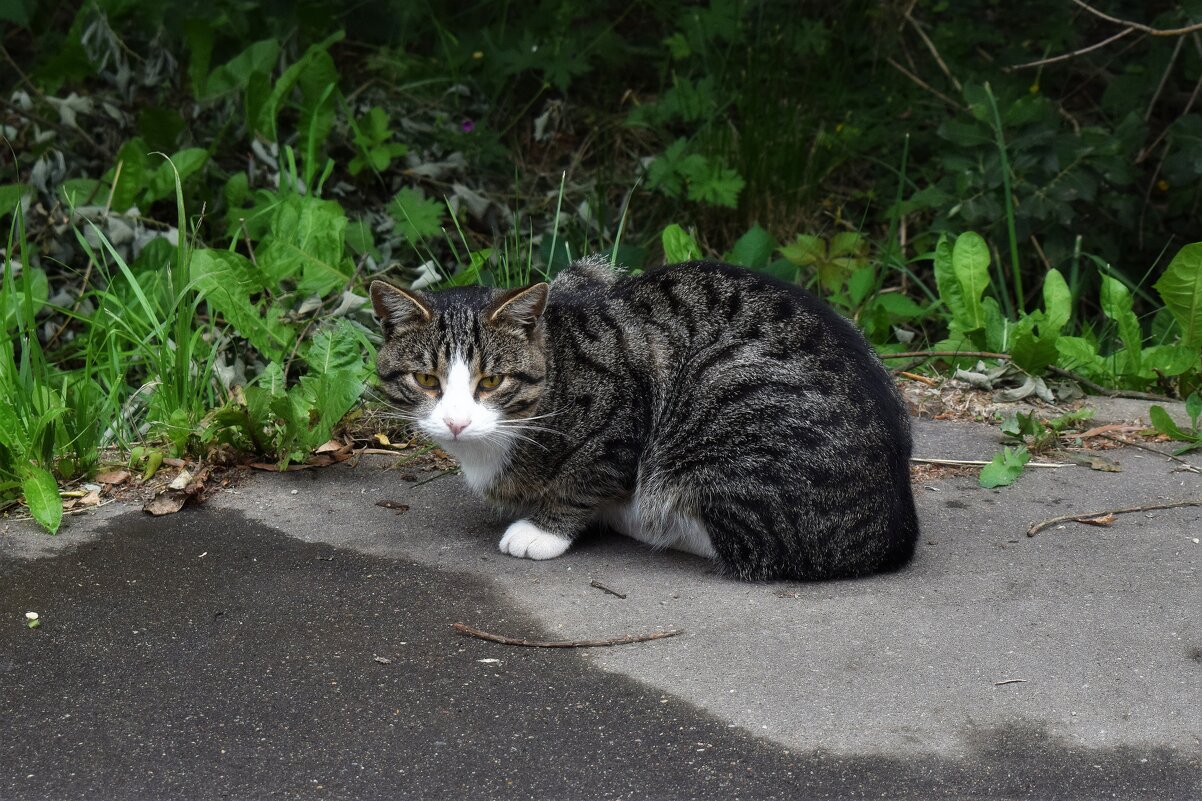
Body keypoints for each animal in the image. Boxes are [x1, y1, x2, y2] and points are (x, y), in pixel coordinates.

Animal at [372, 258, 918, 577]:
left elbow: (586, 476)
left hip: (724, 402)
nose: (456, 422)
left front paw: (545, 529)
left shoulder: (620, 410)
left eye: (490, 382)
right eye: (426, 380)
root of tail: (896, 532)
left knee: (755, 547)